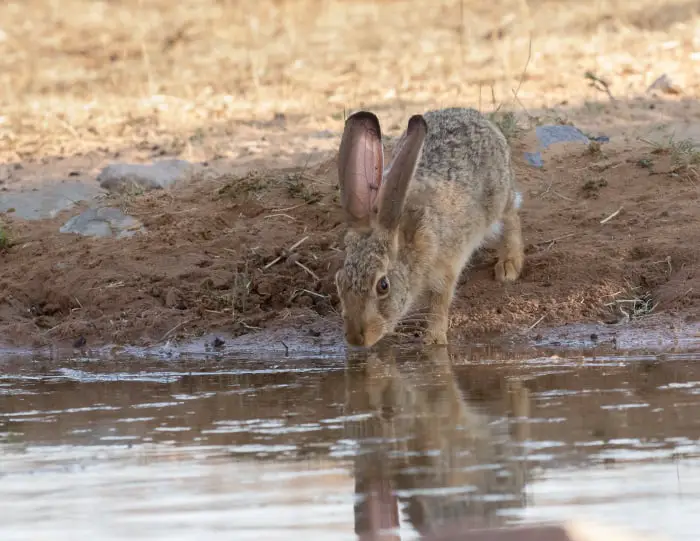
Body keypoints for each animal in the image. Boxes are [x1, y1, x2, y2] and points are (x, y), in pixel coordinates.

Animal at [334, 107, 524, 346]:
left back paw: (509, 267)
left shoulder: (446, 268)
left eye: (383, 285)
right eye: (339, 281)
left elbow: (439, 305)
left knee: (511, 217)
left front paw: (434, 341)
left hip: (498, 198)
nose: (356, 339)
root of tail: (476, 116)